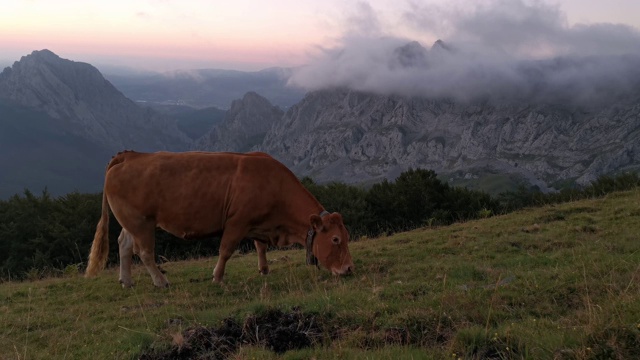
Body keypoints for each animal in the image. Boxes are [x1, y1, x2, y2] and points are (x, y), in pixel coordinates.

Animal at [84, 150, 356, 288]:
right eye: (335, 239)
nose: (349, 268)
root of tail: (130, 155)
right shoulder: (237, 221)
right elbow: (226, 250)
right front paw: (217, 276)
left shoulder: (258, 223)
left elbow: (260, 246)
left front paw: (264, 269)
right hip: (141, 222)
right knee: (144, 252)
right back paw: (161, 281)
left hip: (133, 221)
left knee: (124, 244)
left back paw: (127, 280)